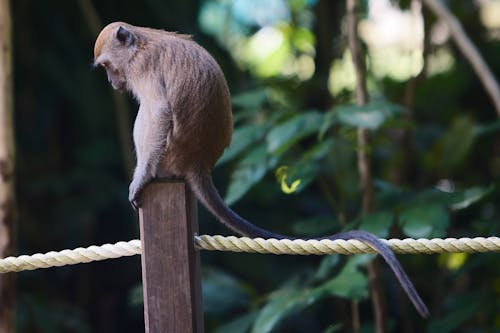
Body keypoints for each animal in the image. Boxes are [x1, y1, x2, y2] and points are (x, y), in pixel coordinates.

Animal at [94, 22, 430, 318]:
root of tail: (198, 163)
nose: (110, 82)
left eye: (108, 66)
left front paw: (140, 179)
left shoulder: (143, 69)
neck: (141, 42)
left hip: (171, 153)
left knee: (148, 116)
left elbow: (159, 112)